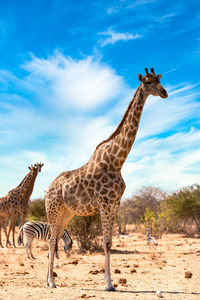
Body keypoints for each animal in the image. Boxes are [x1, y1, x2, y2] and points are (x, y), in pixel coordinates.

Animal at [45, 67, 167, 290]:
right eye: (147, 82)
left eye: (159, 79)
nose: (164, 92)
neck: (117, 161)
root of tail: (48, 187)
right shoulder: (104, 202)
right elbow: (106, 243)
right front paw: (109, 284)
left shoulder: (115, 203)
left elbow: (110, 242)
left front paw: (110, 282)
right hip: (54, 209)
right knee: (50, 240)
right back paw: (50, 281)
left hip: (67, 213)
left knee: (54, 239)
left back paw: (48, 279)